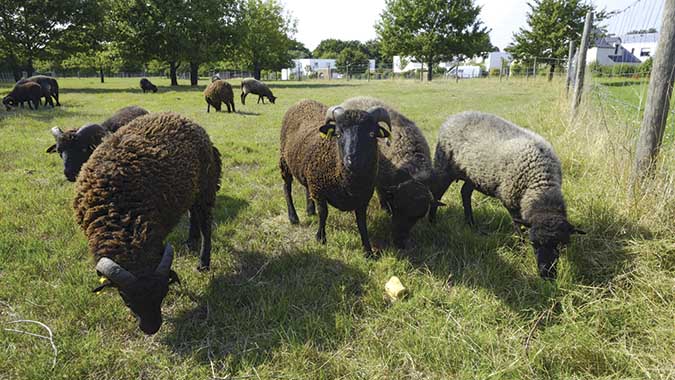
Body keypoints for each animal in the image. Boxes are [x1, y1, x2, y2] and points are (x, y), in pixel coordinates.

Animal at [74, 111, 222, 334]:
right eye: (126, 298)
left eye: (163, 294)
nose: (151, 328)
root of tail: (185, 119)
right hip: (191, 190)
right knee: (193, 214)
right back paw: (190, 240)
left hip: (205, 186)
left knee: (205, 223)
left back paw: (203, 262)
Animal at [280, 99, 394, 256]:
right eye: (339, 134)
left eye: (371, 134)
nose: (352, 161)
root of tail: (302, 101)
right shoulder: (320, 190)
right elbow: (324, 214)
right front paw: (320, 238)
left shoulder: (362, 199)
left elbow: (361, 223)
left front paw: (368, 251)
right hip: (284, 161)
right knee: (287, 188)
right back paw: (293, 217)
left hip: (307, 171)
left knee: (306, 188)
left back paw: (310, 210)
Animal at [340, 96, 436, 248]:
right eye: (396, 207)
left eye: (417, 217)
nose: (399, 242)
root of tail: (355, 97)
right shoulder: (383, 179)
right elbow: (382, 194)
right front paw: (385, 209)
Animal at [434, 110, 588, 280]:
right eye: (534, 244)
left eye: (560, 245)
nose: (547, 275)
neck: (540, 184)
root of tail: (454, 116)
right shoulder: (511, 202)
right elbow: (519, 229)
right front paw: (521, 251)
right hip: (444, 167)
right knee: (436, 194)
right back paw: (432, 222)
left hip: (474, 176)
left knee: (465, 192)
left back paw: (471, 224)